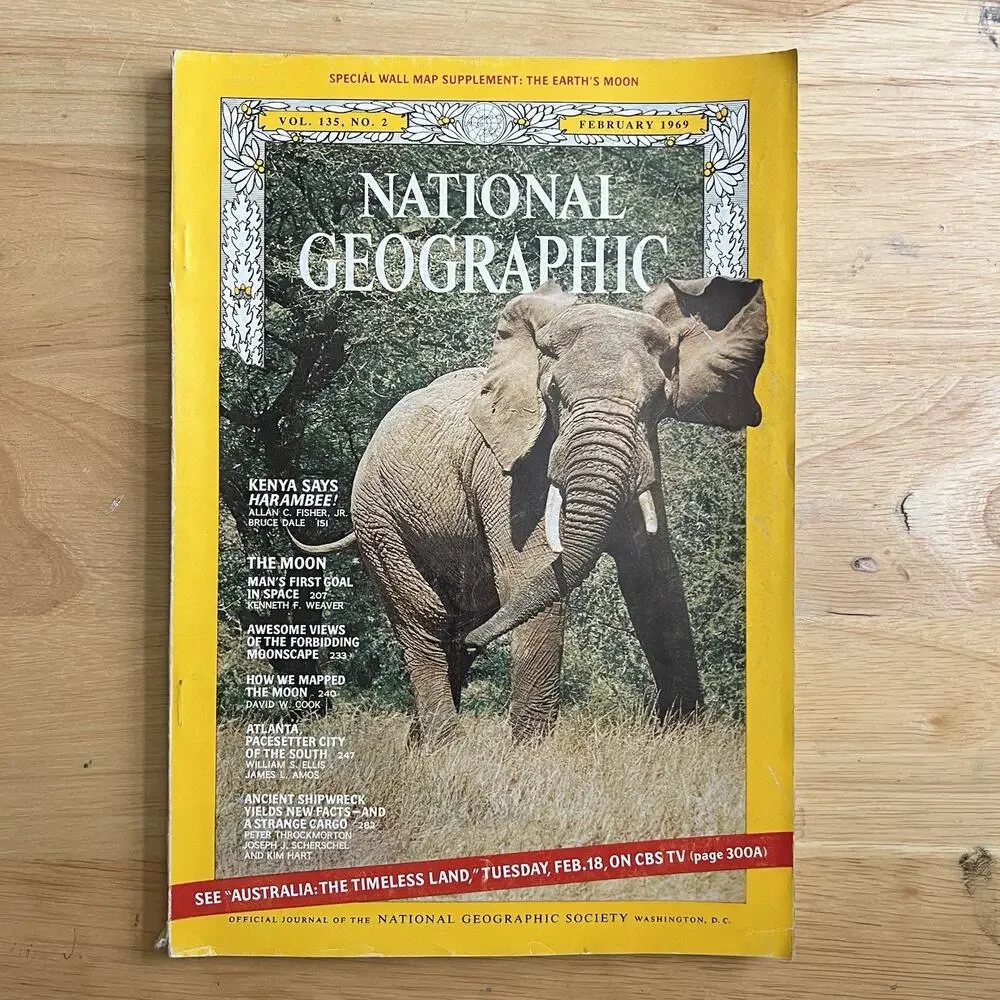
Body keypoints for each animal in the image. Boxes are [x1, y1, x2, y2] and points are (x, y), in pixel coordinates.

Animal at [290, 276, 768, 743]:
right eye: (553, 394)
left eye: (657, 400)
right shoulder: (507, 472)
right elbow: (530, 573)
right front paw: (530, 753)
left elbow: (654, 580)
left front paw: (683, 737)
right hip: (377, 516)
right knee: (425, 619)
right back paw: (446, 746)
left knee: (459, 623)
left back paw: (422, 742)